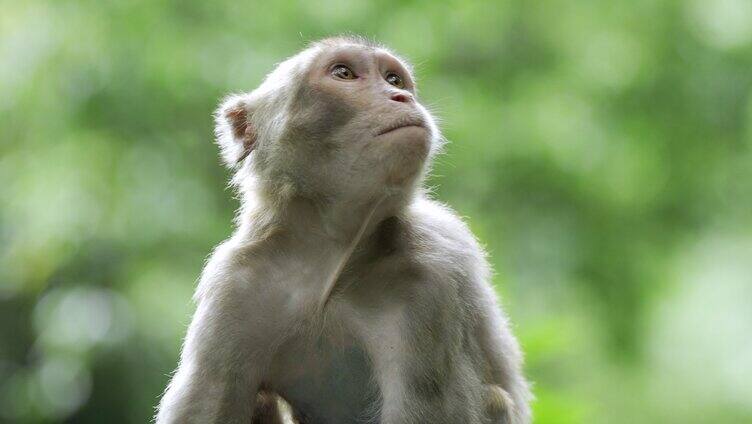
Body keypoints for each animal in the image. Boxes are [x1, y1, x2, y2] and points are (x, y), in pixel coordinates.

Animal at [154, 36, 528, 424]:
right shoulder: (233, 286)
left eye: (393, 79)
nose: (401, 97)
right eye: (344, 73)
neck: (328, 258)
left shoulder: (428, 283)